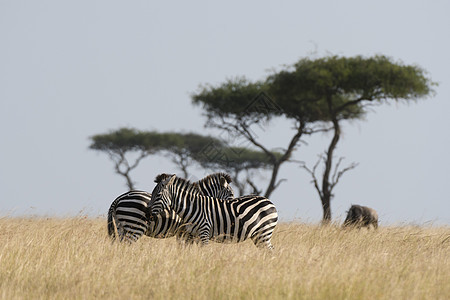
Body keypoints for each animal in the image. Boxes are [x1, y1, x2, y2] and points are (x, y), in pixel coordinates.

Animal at [108, 172, 236, 243]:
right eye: (231, 194)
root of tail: (118, 198)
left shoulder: (183, 233)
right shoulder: (187, 233)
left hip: (121, 227)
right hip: (135, 227)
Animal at [149, 172, 278, 250]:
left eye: (158, 195)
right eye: (153, 194)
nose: (149, 214)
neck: (192, 207)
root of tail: (269, 201)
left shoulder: (202, 232)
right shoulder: (191, 235)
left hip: (264, 232)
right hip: (259, 235)